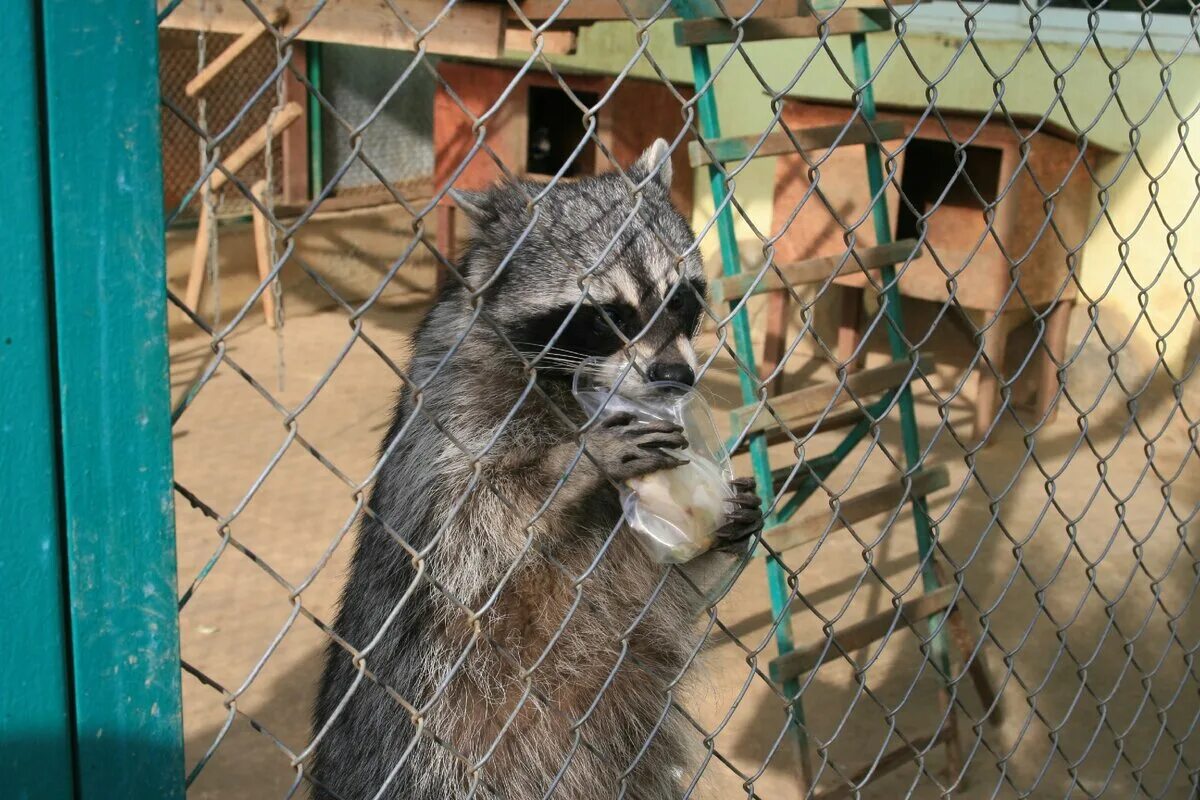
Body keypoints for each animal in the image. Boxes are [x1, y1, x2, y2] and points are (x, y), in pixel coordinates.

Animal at [314, 140, 763, 796]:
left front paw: (723, 524)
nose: (677, 378)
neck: (569, 385)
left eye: (681, 298)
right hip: (434, 745)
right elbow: (476, 519)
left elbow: (667, 585)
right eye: (607, 316)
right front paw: (580, 459)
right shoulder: (453, 409)